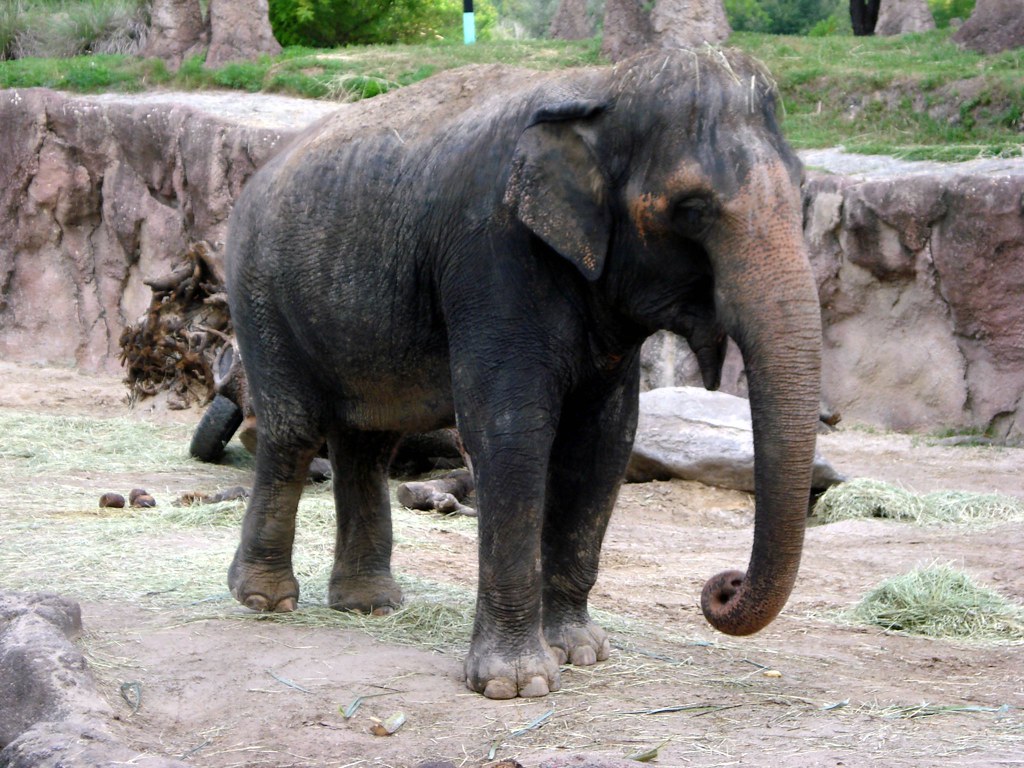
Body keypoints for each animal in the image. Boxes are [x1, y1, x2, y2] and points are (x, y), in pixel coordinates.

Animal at [224, 47, 822, 700]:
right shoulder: (492, 251)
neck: (602, 86)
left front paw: (581, 652)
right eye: (691, 209)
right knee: (294, 430)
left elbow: (603, 442)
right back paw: (264, 600)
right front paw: (518, 685)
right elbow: (510, 430)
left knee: (367, 441)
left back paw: (369, 605)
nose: (722, 586)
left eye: (802, 195)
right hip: (259, 292)